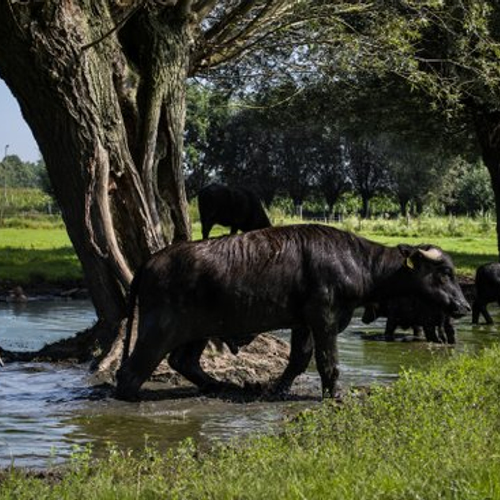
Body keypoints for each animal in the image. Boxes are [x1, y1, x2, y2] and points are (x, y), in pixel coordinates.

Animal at [115, 225, 470, 400]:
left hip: (198, 329)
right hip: (159, 329)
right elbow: (328, 361)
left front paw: (276, 389)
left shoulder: (303, 323)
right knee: (131, 371)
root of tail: (150, 261)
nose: (464, 307)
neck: (355, 260)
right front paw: (335, 394)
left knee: (183, 361)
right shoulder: (325, 317)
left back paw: (220, 386)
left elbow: (299, 360)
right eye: (445, 273)